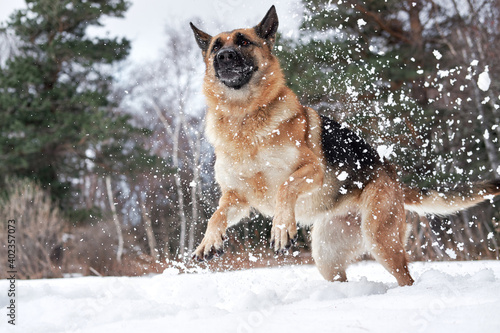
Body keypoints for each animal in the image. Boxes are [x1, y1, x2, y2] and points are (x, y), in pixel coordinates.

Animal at [188, 5, 500, 286]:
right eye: (216, 47)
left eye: (244, 42)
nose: (224, 57)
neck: (244, 119)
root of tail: (393, 176)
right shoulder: (237, 196)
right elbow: (216, 214)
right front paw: (209, 240)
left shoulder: (311, 170)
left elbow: (285, 188)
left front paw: (281, 227)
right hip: (326, 255)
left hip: (381, 241)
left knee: (406, 277)